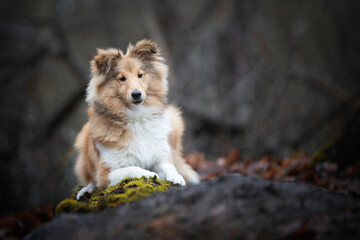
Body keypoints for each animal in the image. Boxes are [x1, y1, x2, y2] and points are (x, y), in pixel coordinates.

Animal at [73, 39, 200, 199]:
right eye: (122, 78)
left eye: (140, 75)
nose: (136, 94)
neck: (137, 118)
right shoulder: (106, 173)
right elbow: (132, 168)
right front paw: (150, 174)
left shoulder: (160, 156)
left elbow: (169, 165)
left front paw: (176, 177)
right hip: (83, 139)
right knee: (89, 178)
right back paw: (86, 189)